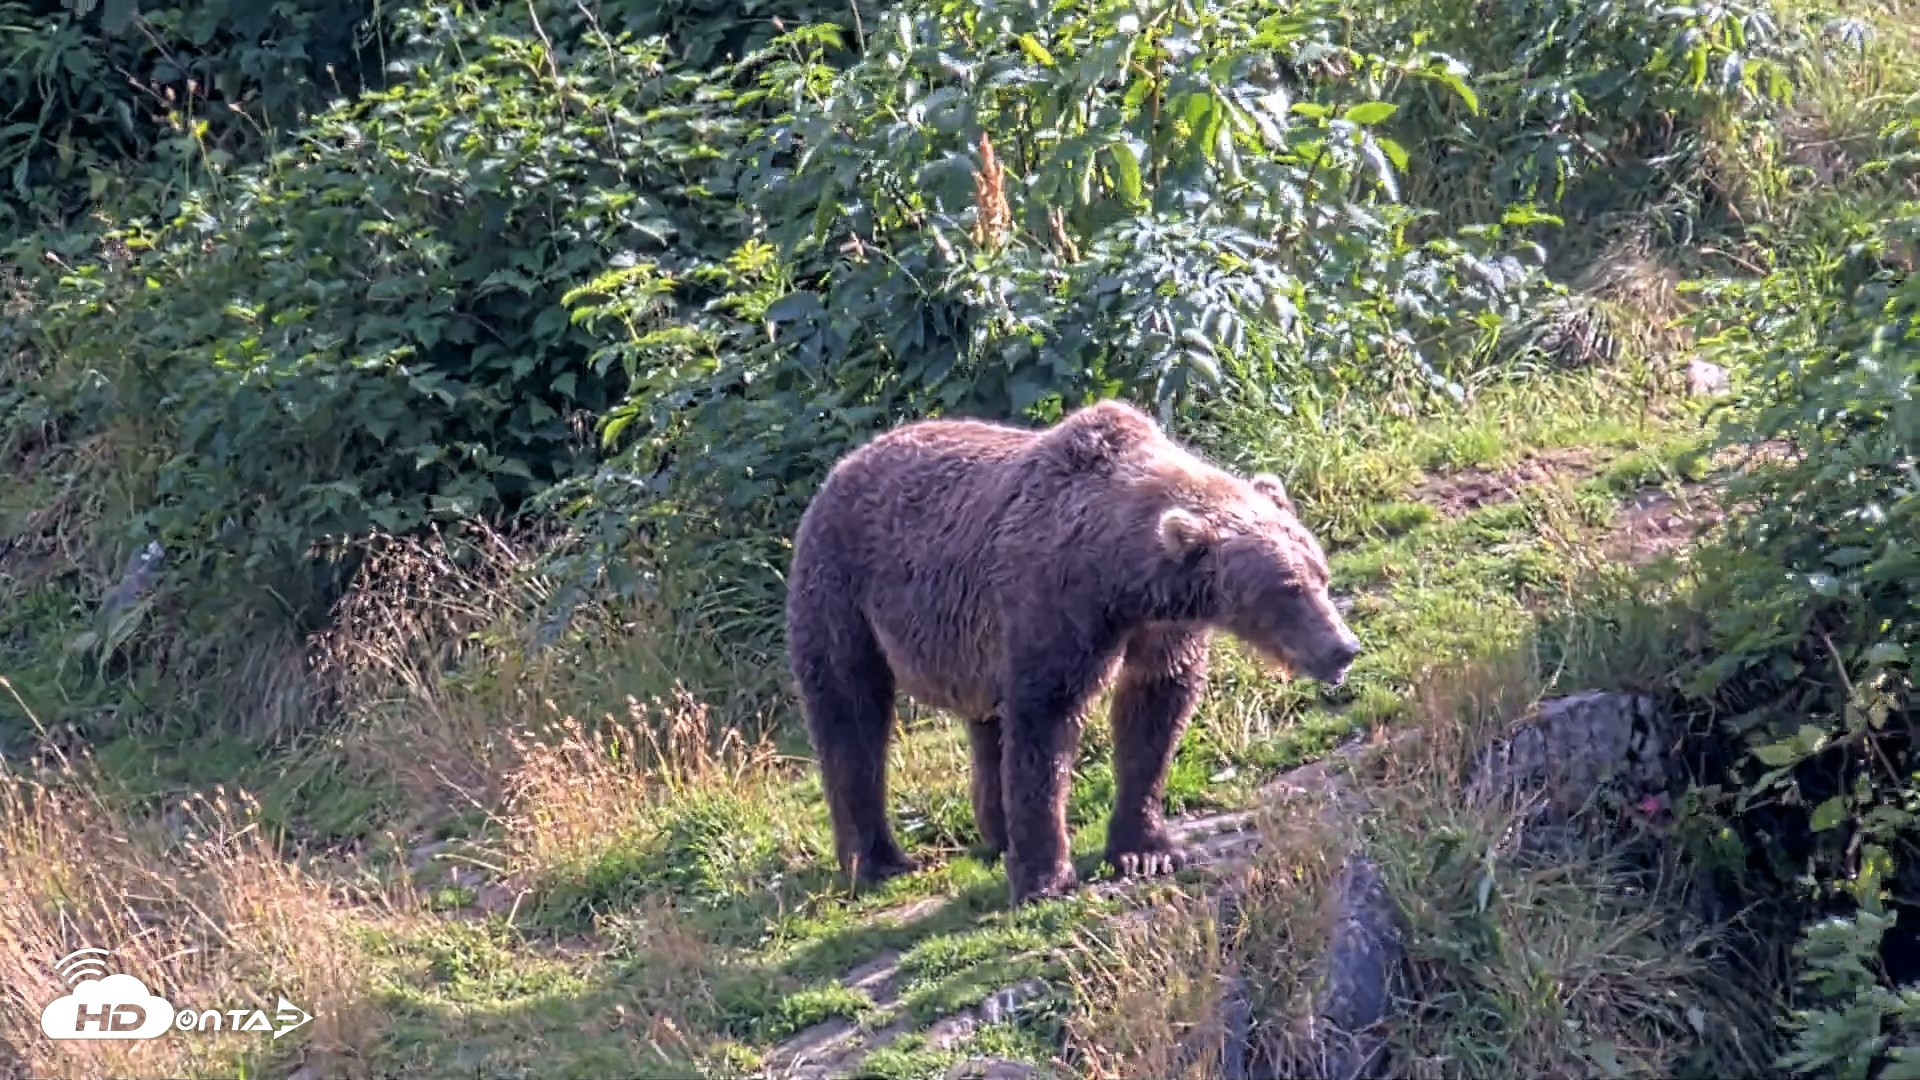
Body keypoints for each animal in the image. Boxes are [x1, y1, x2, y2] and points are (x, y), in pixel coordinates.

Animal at [784, 398, 1362, 907]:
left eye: (1320, 572)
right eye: (1286, 588)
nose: (1343, 647)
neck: (1122, 576)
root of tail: (842, 465)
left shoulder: (1161, 630)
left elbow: (1154, 716)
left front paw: (1146, 850)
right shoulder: (1056, 608)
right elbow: (1046, 724)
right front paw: (1045, 878)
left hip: (973, 645)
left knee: (986, 722)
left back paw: (996, 833)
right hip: (842, 594)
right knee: (850, 713)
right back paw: (877, 859)